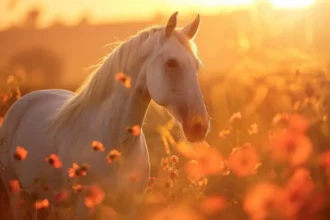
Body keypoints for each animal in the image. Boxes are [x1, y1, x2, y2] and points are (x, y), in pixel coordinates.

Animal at [0, 12, 210, 220]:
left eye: (196, 66)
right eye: (171, 63)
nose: (200, 126)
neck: (115, 145)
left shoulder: (131, 206)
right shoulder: (85, 208)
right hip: (20, 196)